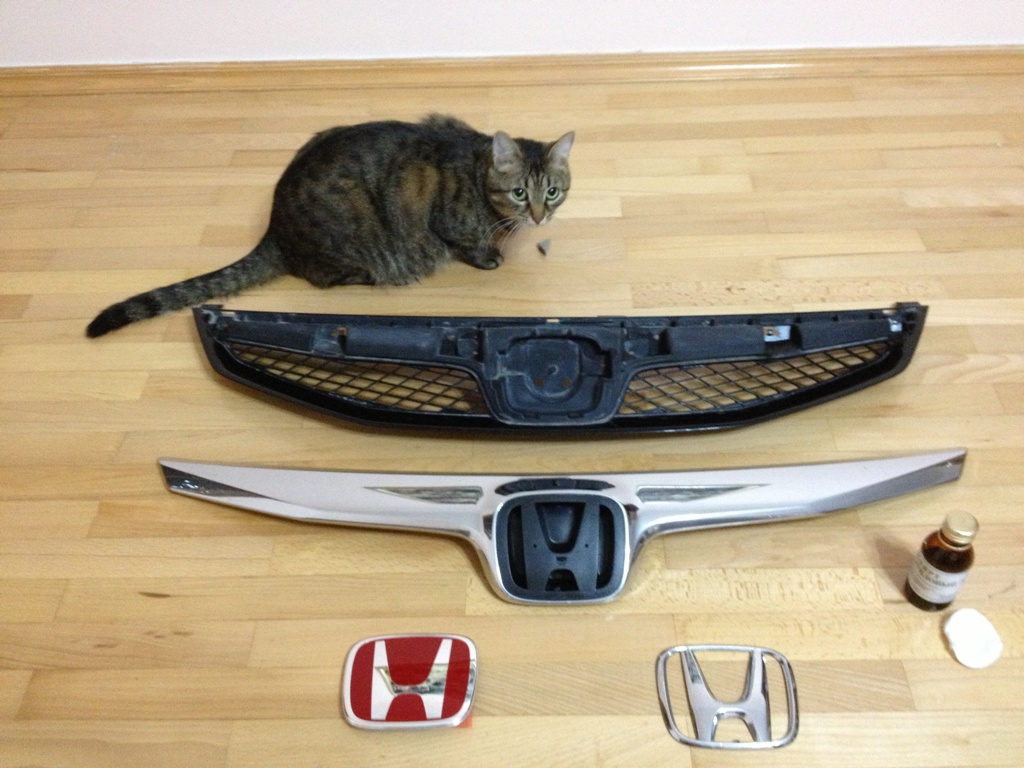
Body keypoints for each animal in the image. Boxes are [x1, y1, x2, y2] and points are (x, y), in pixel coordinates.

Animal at [86, 114, 574, 337]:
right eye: (520, 193)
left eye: (552, 192)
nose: (540, 216)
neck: (478, 173)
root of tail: (275, 229)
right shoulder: (447, 223)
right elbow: (466, 243)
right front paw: (489, 255)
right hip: (354, 243)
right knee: (326, 276)